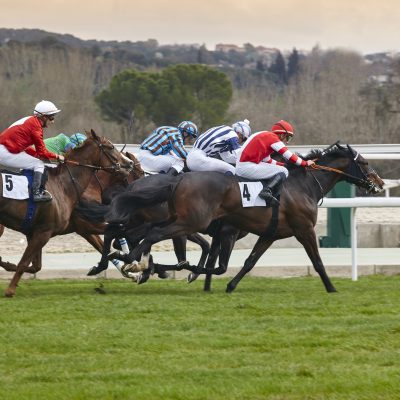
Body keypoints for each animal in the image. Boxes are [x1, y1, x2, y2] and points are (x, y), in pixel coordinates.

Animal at [0, 130, 134, 296]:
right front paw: (10, 290)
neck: (63, 186)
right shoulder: (48, 231)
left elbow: (35, 266)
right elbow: (24, 262)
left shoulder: (37, 232)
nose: (129, 163)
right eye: (110, 147)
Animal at [100, 142, 384, 292]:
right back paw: (135, 263)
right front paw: (331, 287)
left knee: (131, 233)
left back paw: (128, 262)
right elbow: (317, 261)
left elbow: (247, 262)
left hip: (175, 219)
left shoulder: (268, 233)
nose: (379, 183)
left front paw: (227, 285)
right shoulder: (303, 229)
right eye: (365, 163)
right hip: (190, 221)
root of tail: (178, 180)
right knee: (147, 235)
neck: (302, 186)